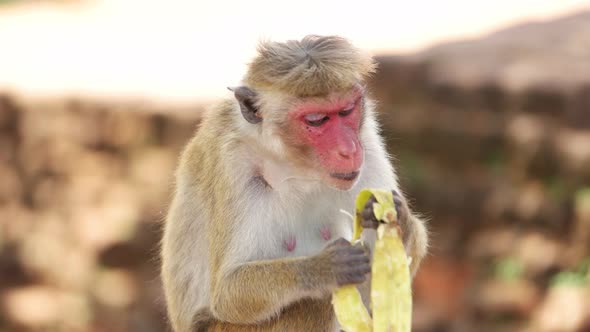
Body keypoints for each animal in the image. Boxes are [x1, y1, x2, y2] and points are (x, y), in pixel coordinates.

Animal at [162, 35, 430, 330]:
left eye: (347, 111)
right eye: (317, 120)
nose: (349, 150)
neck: (296, 168)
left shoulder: (368, 142)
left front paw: (395, 216)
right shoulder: (231, 162)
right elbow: (227, 293)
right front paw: (322, 269)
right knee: (316, 304)